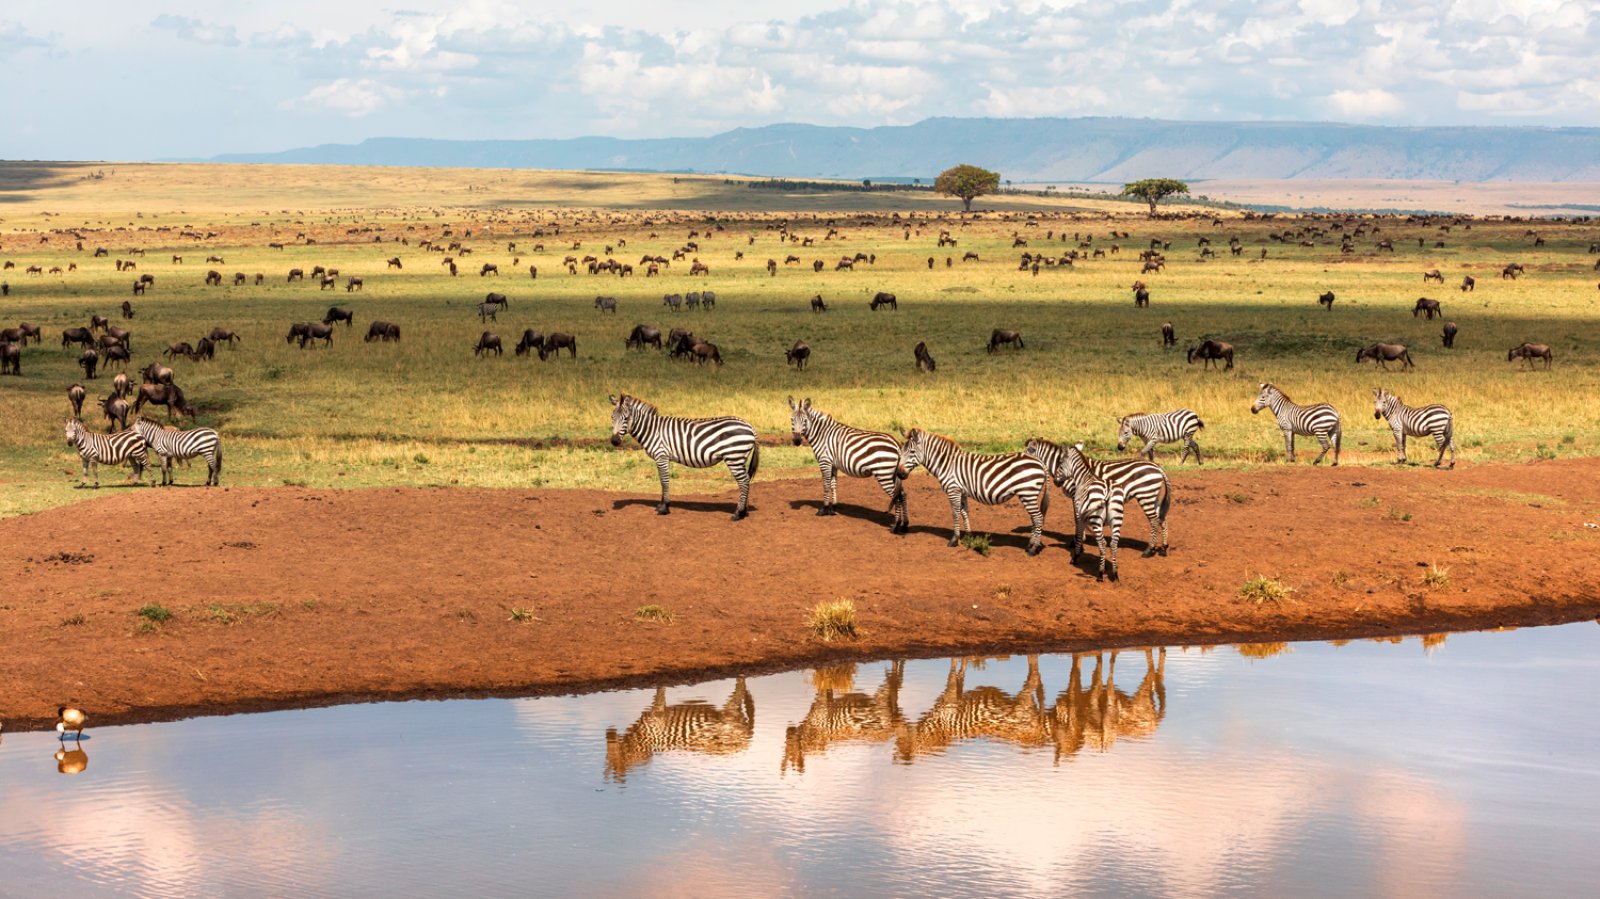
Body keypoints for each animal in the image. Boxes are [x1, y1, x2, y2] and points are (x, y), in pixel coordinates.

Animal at [611, 391, 761, 518]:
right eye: (612, 418)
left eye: (626, 418)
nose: (614, 441)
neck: (652, 430)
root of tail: (750, 426)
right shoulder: (664, 457)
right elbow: (662, 481)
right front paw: (662, 505)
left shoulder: (661, 455)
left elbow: (664, 481)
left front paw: (664, 508)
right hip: (740, 458)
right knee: (746, 480)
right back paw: (744, 511)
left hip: (734, 457)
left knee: (743, 481)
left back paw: (738, 513)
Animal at [790, 395, 915, 527]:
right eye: (792, 420)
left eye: (805, 421)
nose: (797, 441)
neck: (822, 435)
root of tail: (896, 443)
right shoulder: (833, 464)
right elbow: (833, 484)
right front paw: (833, 508)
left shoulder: (825, 462)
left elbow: (826, 484)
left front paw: (824, 509)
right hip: (892, 474)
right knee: (902, 494)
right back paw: (904, 524)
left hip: (884, 474)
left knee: (897, 495)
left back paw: (896, 524)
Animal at [896, 425, 1056, 553]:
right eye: (901, 451)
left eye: (911, 452)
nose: (899, 473)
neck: (947, 464)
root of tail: (1040, 462)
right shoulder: (962, 492)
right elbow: (965, 513)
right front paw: (968, 537)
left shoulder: (953, 490)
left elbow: (955, 514)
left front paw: (954, 540)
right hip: (1029, 495)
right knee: (1035, 519)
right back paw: (1030, 545)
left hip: (1027, 493)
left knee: (1038, 518)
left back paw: (1033, 549)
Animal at [1024, 438, 1177, 556]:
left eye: (1026, 454)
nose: (1057, 482)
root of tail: (1157, 467)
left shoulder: (1076, 495)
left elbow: (1076, 517)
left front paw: (1078, 542)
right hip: (1153, 497)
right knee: (1162, 519)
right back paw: (1163, 548)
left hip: (1146, 496)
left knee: (1154, 521)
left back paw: (1148, 550)